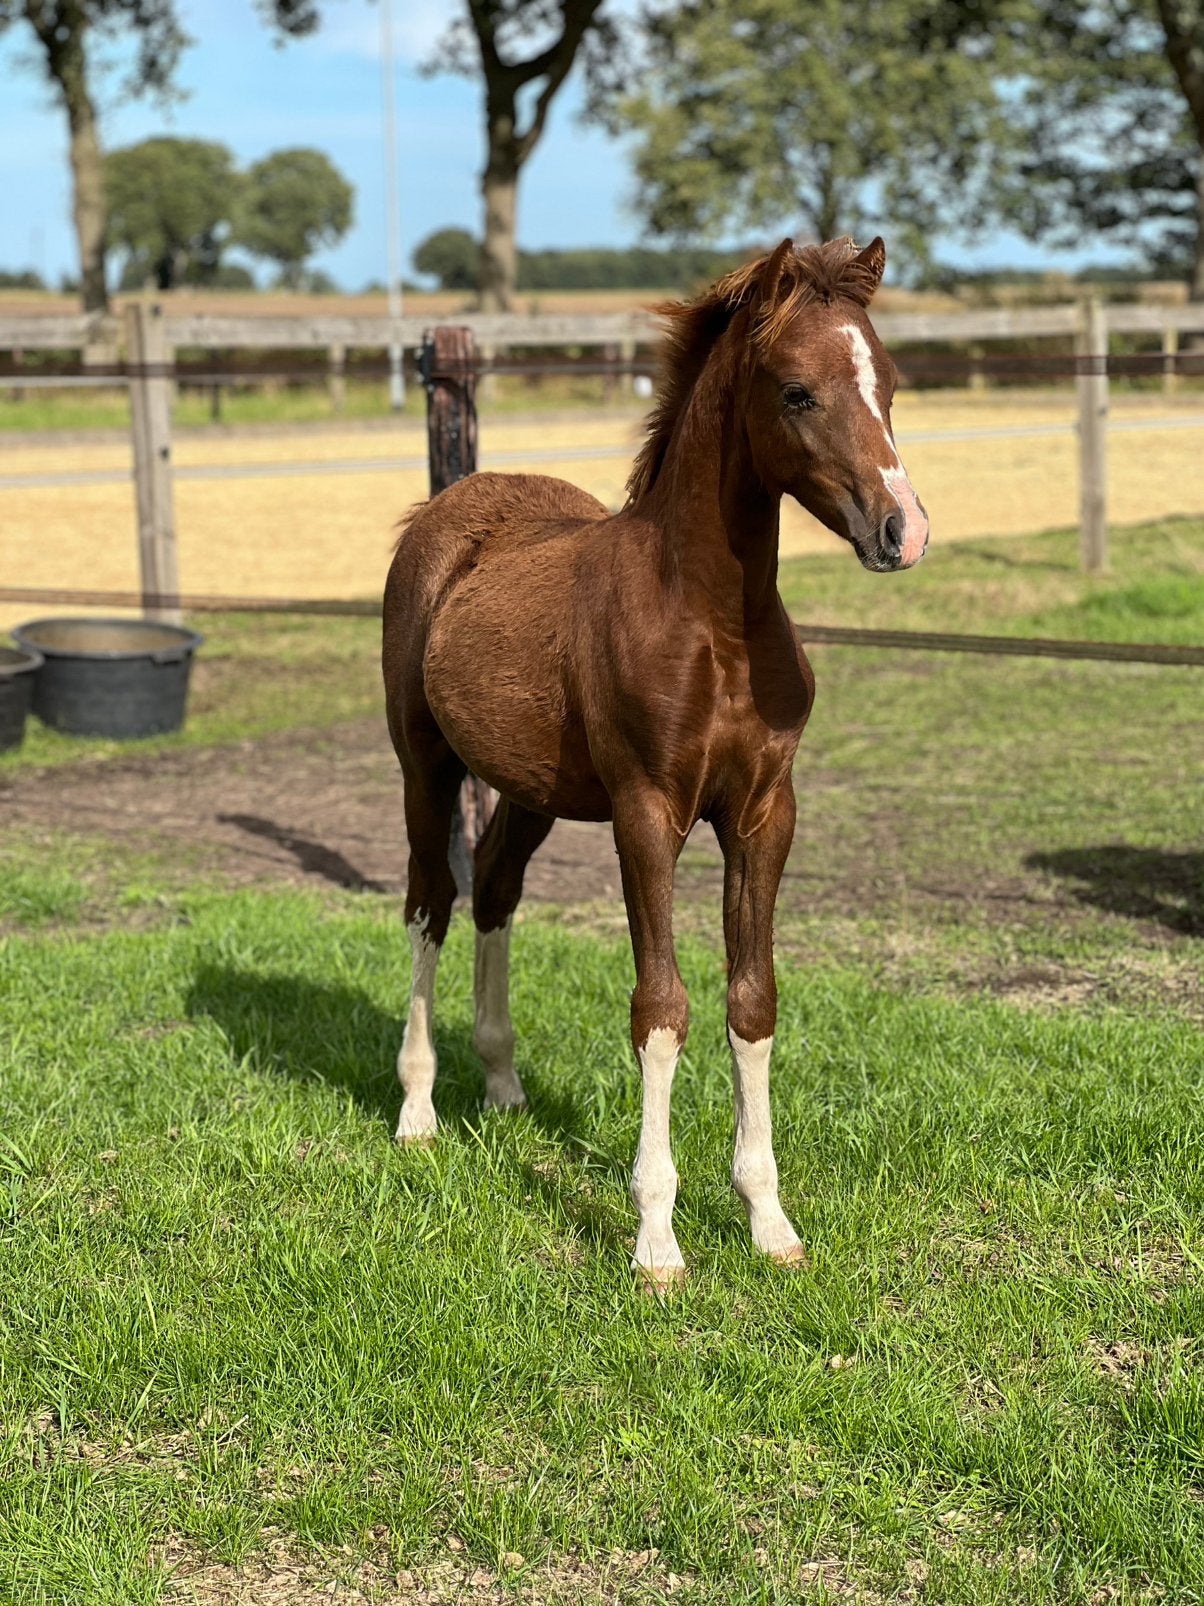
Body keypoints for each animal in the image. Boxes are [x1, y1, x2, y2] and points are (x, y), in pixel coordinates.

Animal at [382, 235, 928, 1288]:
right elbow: (661, 1008)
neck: (714, 621)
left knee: (496, 889)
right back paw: (418, 1110)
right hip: (424, 765)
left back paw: (503, 1083)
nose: (904, 530)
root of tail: (445, 507)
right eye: (798, 391)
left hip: (531, 788)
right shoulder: (647, 813)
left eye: (890, 384)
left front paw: (770, 1223)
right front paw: (656, 1241)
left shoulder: (765, 813)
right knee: (432, 900)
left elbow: (751, 1002)